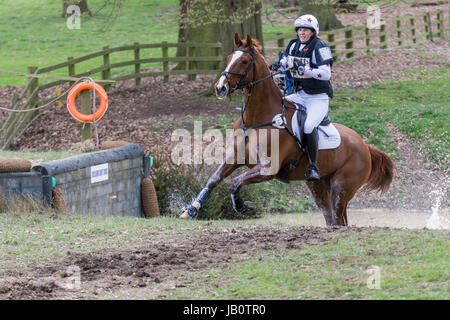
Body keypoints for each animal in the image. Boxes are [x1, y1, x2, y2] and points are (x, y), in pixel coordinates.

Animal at [179, 33, 394, 226]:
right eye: (229, 58)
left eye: (244, 61)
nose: (220, 88)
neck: (258, 119)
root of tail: (365, 146)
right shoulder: (235, 157)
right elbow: (214, 179)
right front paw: (191, 210)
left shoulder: (267, 169)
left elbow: (235, 182)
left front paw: (243, 206)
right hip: (318, 185)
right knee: (332, 217)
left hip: (341, 187)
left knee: (338, 217)